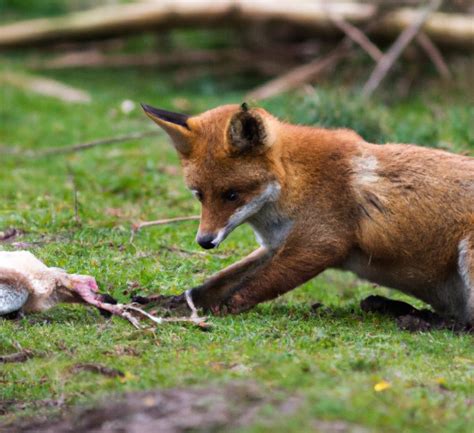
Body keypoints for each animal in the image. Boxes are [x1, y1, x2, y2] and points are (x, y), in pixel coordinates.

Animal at [142, 101, 474, 324]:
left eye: (232, 194)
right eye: (199, 195)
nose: (205, 242)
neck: (294, 180)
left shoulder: (320, 243)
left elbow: (254, 287)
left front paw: (221, 311)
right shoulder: (275, 244)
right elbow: (216, 283)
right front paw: (175, 303)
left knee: (465, 327)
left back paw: (421, 321)